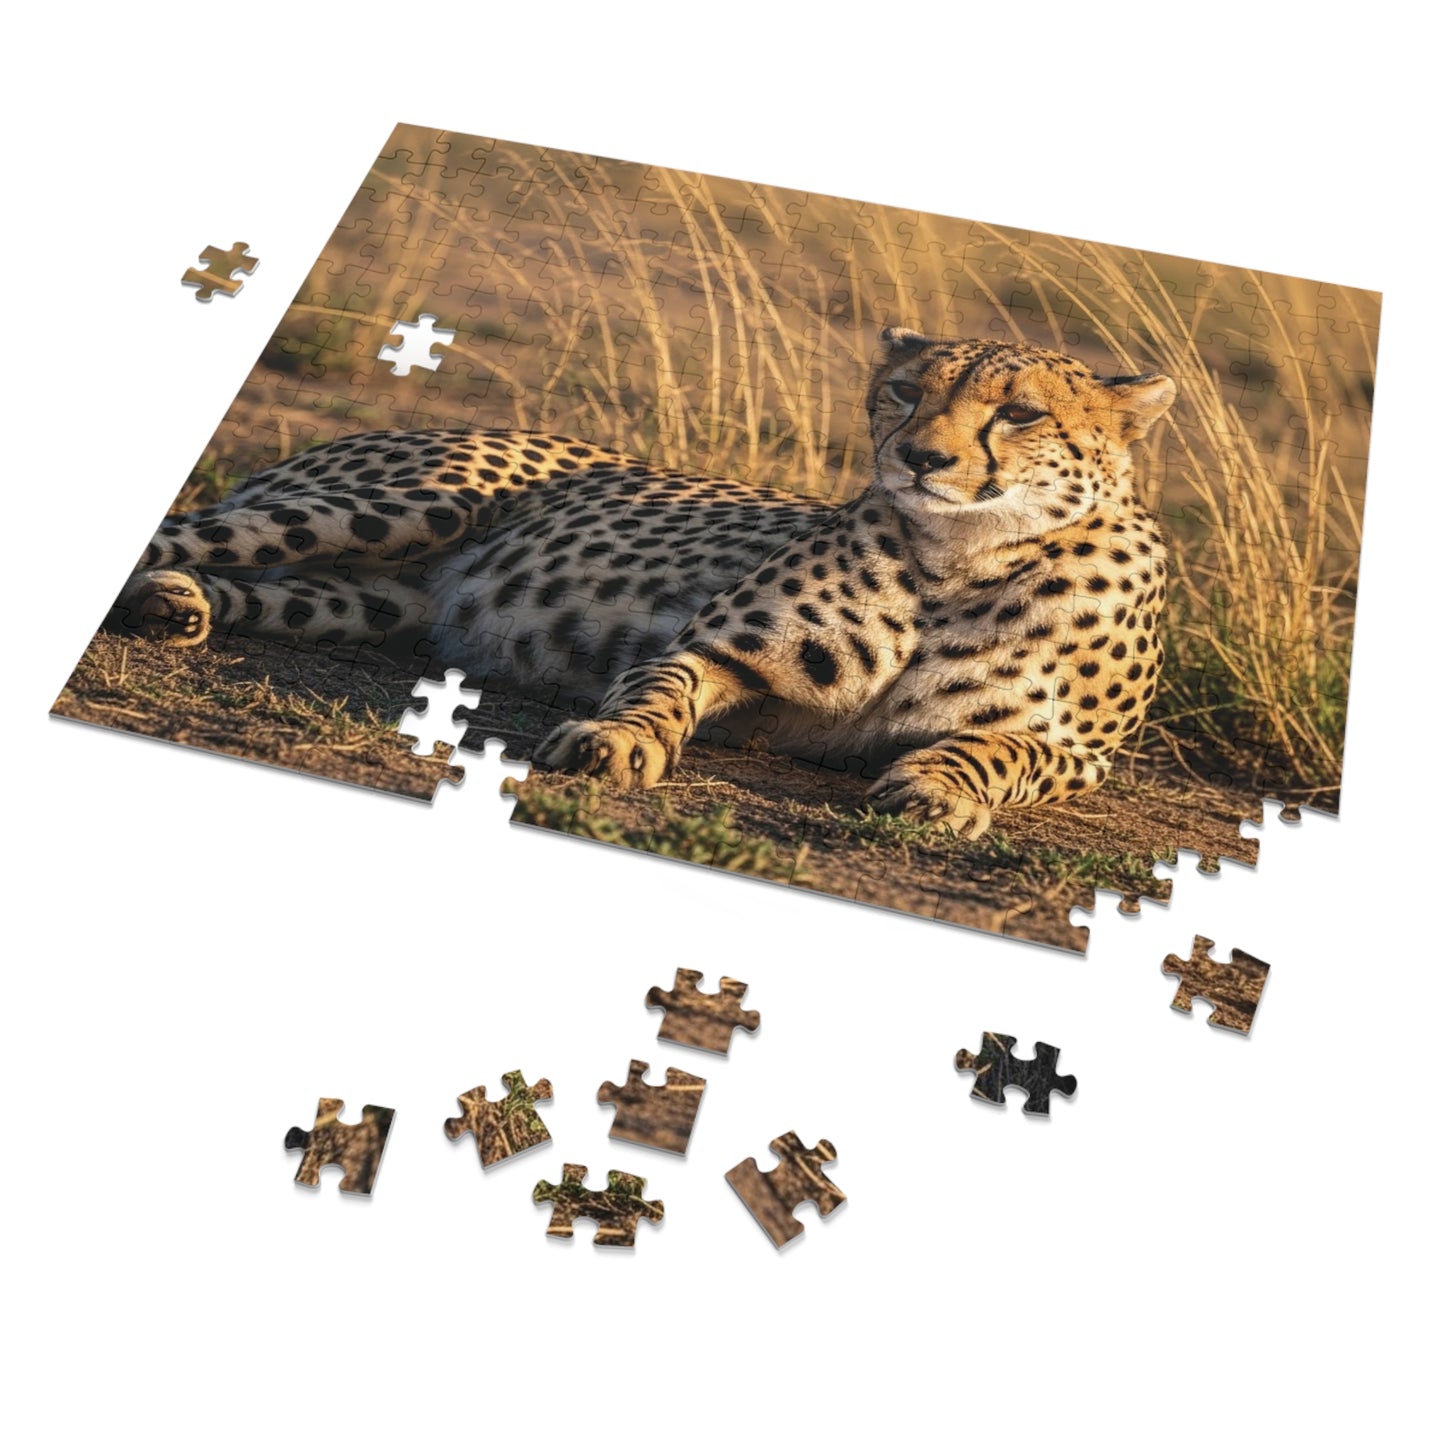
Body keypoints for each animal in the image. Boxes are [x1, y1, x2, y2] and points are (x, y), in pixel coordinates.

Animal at [112, 329, 1175, 837]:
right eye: (905, 392)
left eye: (1020, 412)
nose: (918, 457)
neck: (962, 557)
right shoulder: (721, 649)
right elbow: (662, 685)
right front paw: (616, 742)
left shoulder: (1082, 754)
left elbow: (1002, 750)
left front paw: (939, 787)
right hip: (402, 505)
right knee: (186, 535)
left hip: (373, 596)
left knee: (271, 582)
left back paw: (179, 605)